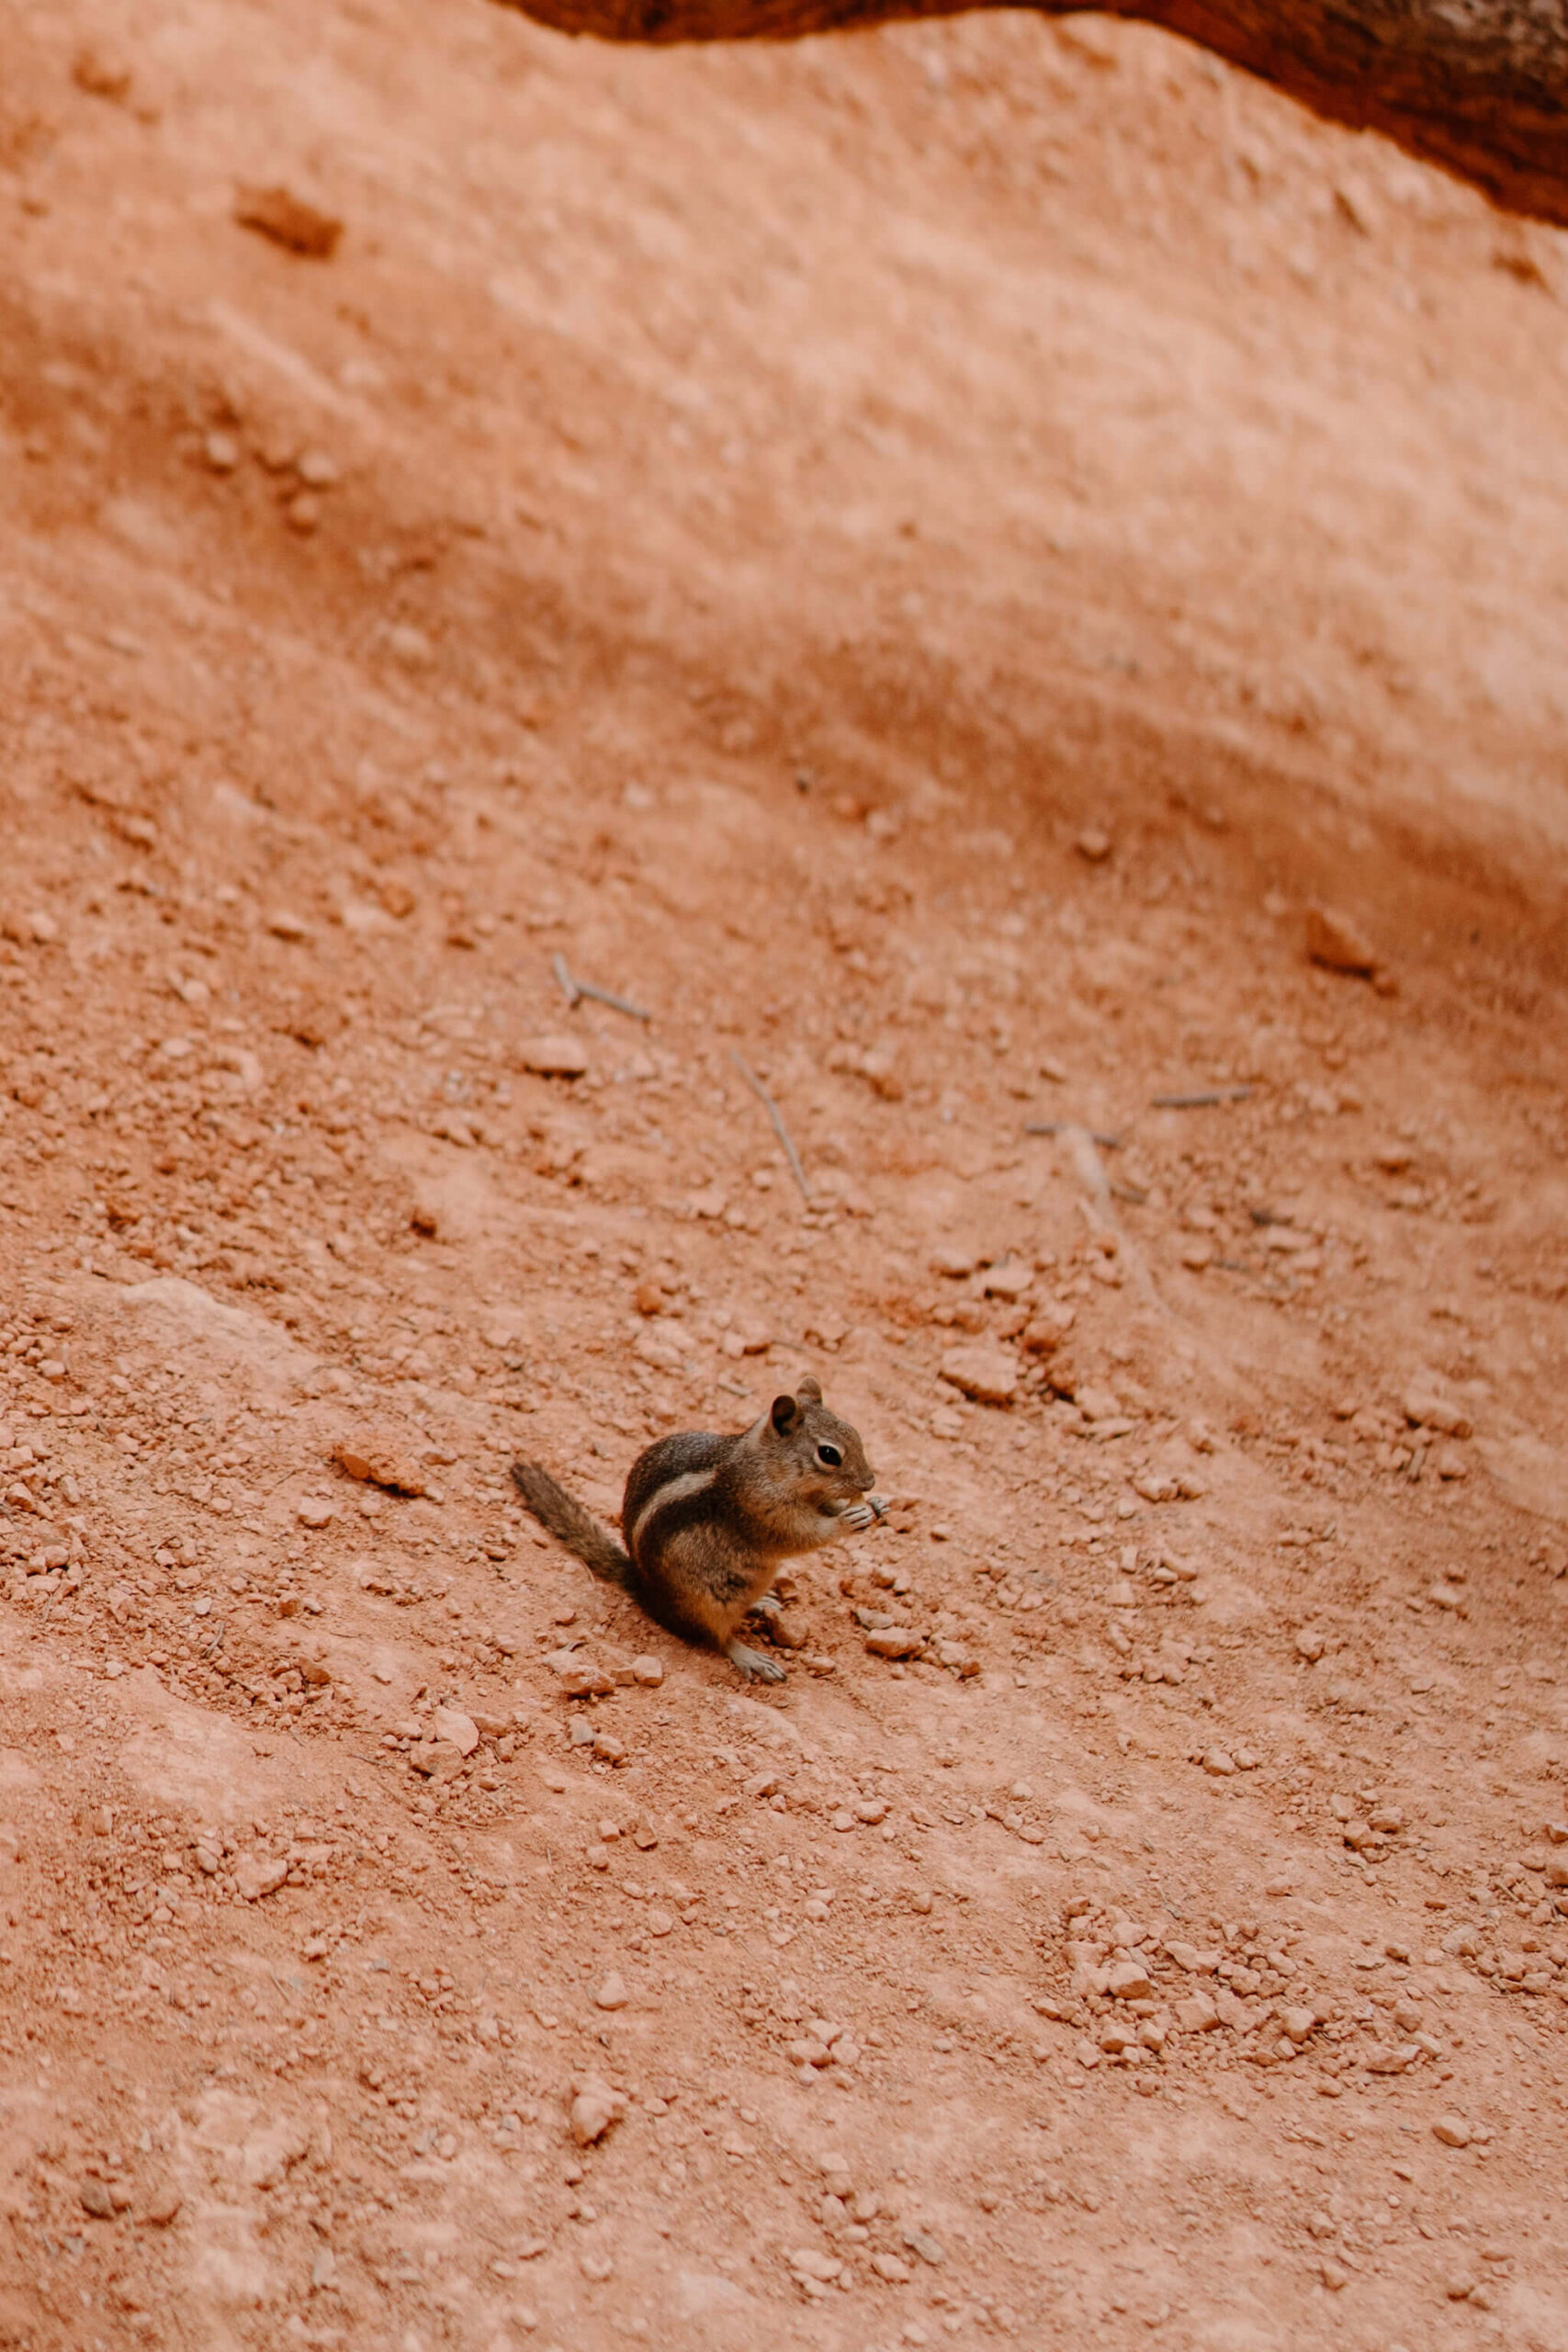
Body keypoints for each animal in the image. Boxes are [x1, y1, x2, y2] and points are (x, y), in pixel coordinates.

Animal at [511, 1375, 882, 1683]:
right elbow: (801, 1535)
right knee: (716, 1638)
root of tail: (646, 1592)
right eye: (829, 1454)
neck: (766, 1464)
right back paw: (751, 1657)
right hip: (708, 1600)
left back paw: (762, 1601)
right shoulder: (761, 1509)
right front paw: (846, 1520)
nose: (870, 1481)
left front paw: (874, 1506)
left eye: (856, 1434)